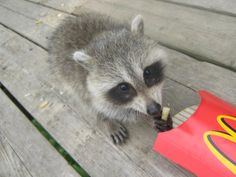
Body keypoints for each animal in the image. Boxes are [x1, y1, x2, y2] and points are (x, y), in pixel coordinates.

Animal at [48, 13, 171, 145]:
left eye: (147, 72)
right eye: (123, 87)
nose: (154, 109)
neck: (100, 37)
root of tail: (64, 24)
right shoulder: (83, 83)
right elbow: (112, 109)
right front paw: (145, 117)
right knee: (86, 102)